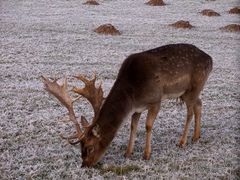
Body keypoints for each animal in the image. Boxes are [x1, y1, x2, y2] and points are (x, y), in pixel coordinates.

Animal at [41, 43, 212, 167]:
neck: (132, 94)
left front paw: (146, 155)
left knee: (190, 111)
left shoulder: (155, 99)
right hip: (188, 92)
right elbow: (132, 125)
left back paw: (182, 142)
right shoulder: (137, 108)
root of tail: (210, 59)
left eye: (90, 147)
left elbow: (148, 126)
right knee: (199, 104)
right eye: (80, 148)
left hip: (195, 85)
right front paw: (128, 153)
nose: (85, 165)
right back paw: (196, 137)